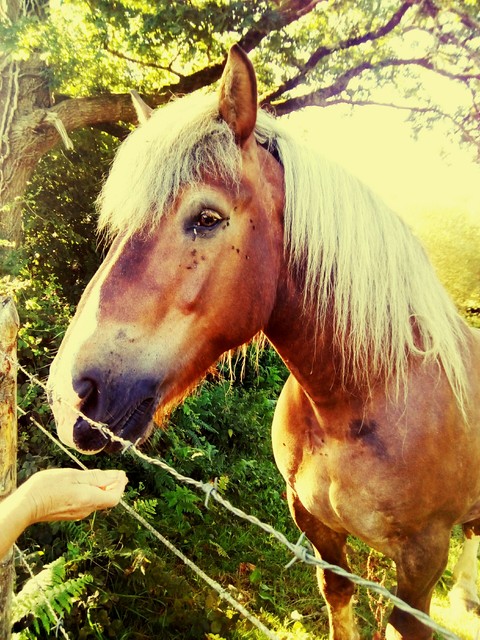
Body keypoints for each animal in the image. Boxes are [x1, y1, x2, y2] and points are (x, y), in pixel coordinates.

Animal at [47, 45, 480, 639]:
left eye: (207, 217)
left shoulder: (419, 568)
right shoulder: (314, 525)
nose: (71, 398)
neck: (366, 397)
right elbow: (338, 596)